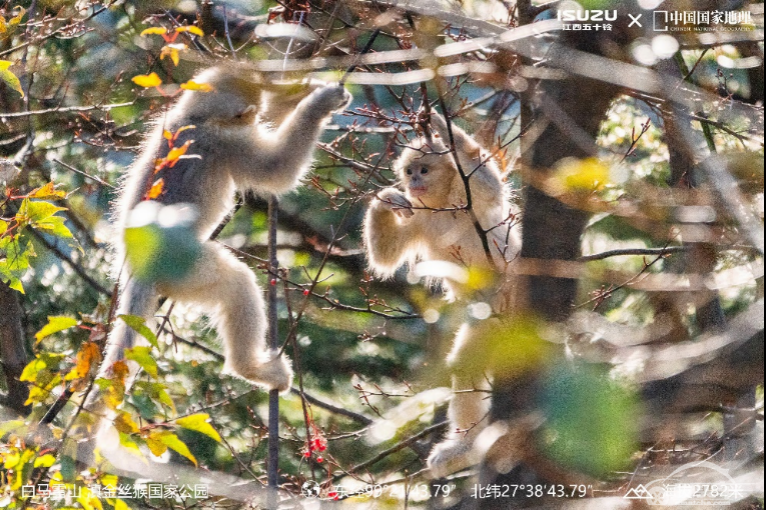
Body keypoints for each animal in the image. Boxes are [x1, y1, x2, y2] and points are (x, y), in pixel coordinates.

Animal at [90, 66, 352, 418]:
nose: (251, 118)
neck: (196, 117)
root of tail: (137, 266)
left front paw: (307, 86)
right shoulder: (227, 142)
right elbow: (276, 170)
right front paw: (320, 102)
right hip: (186, 269)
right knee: (237, 283)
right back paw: (251, 369)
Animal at [364, 111, 520, 478]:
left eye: (424, 169)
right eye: (409, 172)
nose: (413, 182)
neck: (442, 205)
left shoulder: (470, 198)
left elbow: (489, 187)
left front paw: (443, 128)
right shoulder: (419, 215)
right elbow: (385, 257)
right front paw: (387, 198)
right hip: (488, 324)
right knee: (466, 366)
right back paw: (465, 449)